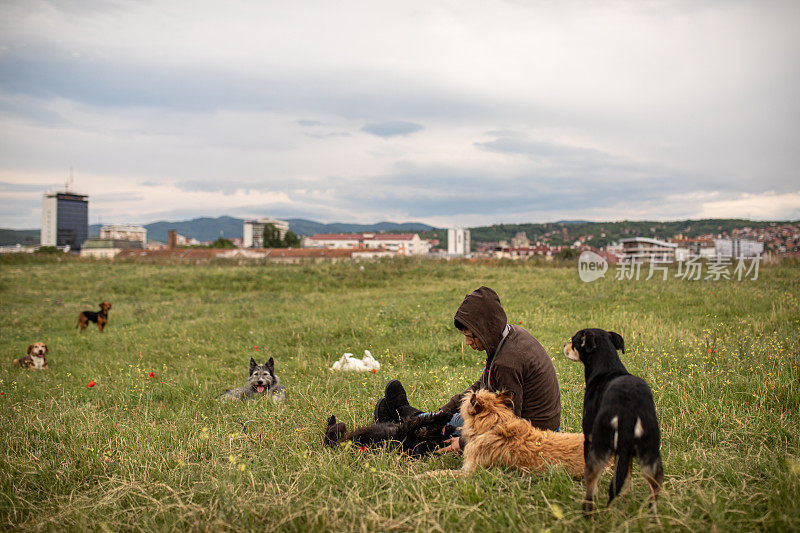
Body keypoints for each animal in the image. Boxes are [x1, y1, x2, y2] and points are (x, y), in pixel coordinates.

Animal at [322, 410, 454, 456]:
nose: (451, 428)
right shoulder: (407, 428)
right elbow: (422, 420)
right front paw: (444, 416)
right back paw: (332, 420)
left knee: (330, 433)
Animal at [564, 326, 664, 512]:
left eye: (574, 342)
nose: (564, 345)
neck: (607, 367)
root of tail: (629, 408)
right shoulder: (625, 452)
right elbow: (626, 476)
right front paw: (626, 497)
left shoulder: (589, 438)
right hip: (651, 454)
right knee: (653, 493)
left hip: (599, 445)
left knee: (591, 487)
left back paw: (588, 512)